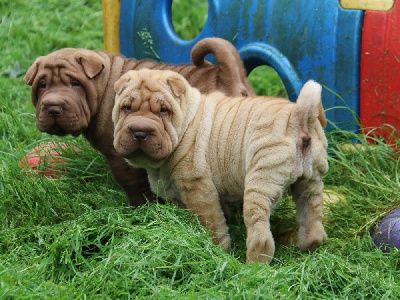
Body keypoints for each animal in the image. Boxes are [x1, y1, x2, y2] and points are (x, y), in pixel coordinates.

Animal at [23, 37, 255, 206]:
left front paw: (142, 209)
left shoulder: (120, 154)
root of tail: (226, 74)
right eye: (42, 85)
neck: (102, 86)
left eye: (75, 83)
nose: (53, 107)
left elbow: (133, 184)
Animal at [111, 69, 328, 264]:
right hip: (310, 181)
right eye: (126, 108)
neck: (186, 121)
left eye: (163, 111)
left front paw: (217, 251)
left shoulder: (198, 189)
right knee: (312, 218)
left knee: (261, 237)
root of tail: (300, 114)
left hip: (261, 181)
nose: (140, 132)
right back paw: (309, 250)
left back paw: (252, 267)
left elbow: (212, 223)